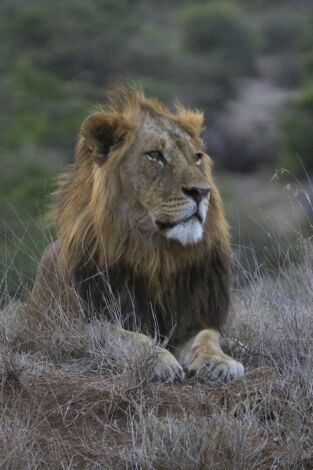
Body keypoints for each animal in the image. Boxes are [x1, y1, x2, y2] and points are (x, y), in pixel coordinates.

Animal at [28, 88, 244, 382]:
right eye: (155, 155)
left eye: (197, 157)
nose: (202, 192)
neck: (157, 256)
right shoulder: (80, 323)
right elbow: (124, 336)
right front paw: (157, 360)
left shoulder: (195, 315)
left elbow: (208, 337)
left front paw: (220, 361)